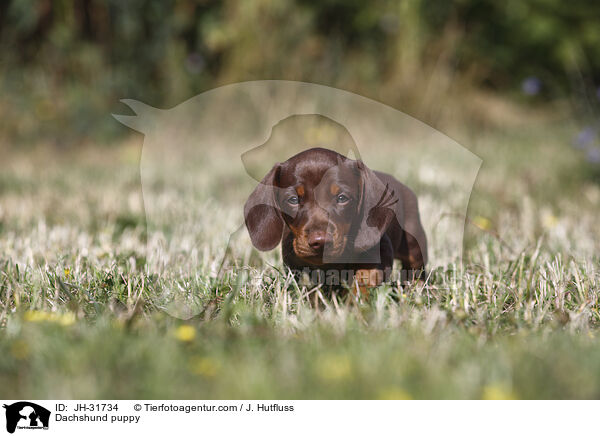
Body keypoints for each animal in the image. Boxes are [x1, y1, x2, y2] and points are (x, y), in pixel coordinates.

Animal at [244, 147, 426, 292]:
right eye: (293, 200)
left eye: (342, 198)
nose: (320, 242)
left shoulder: (382, 252)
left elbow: (365, 277)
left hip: (414, 244)